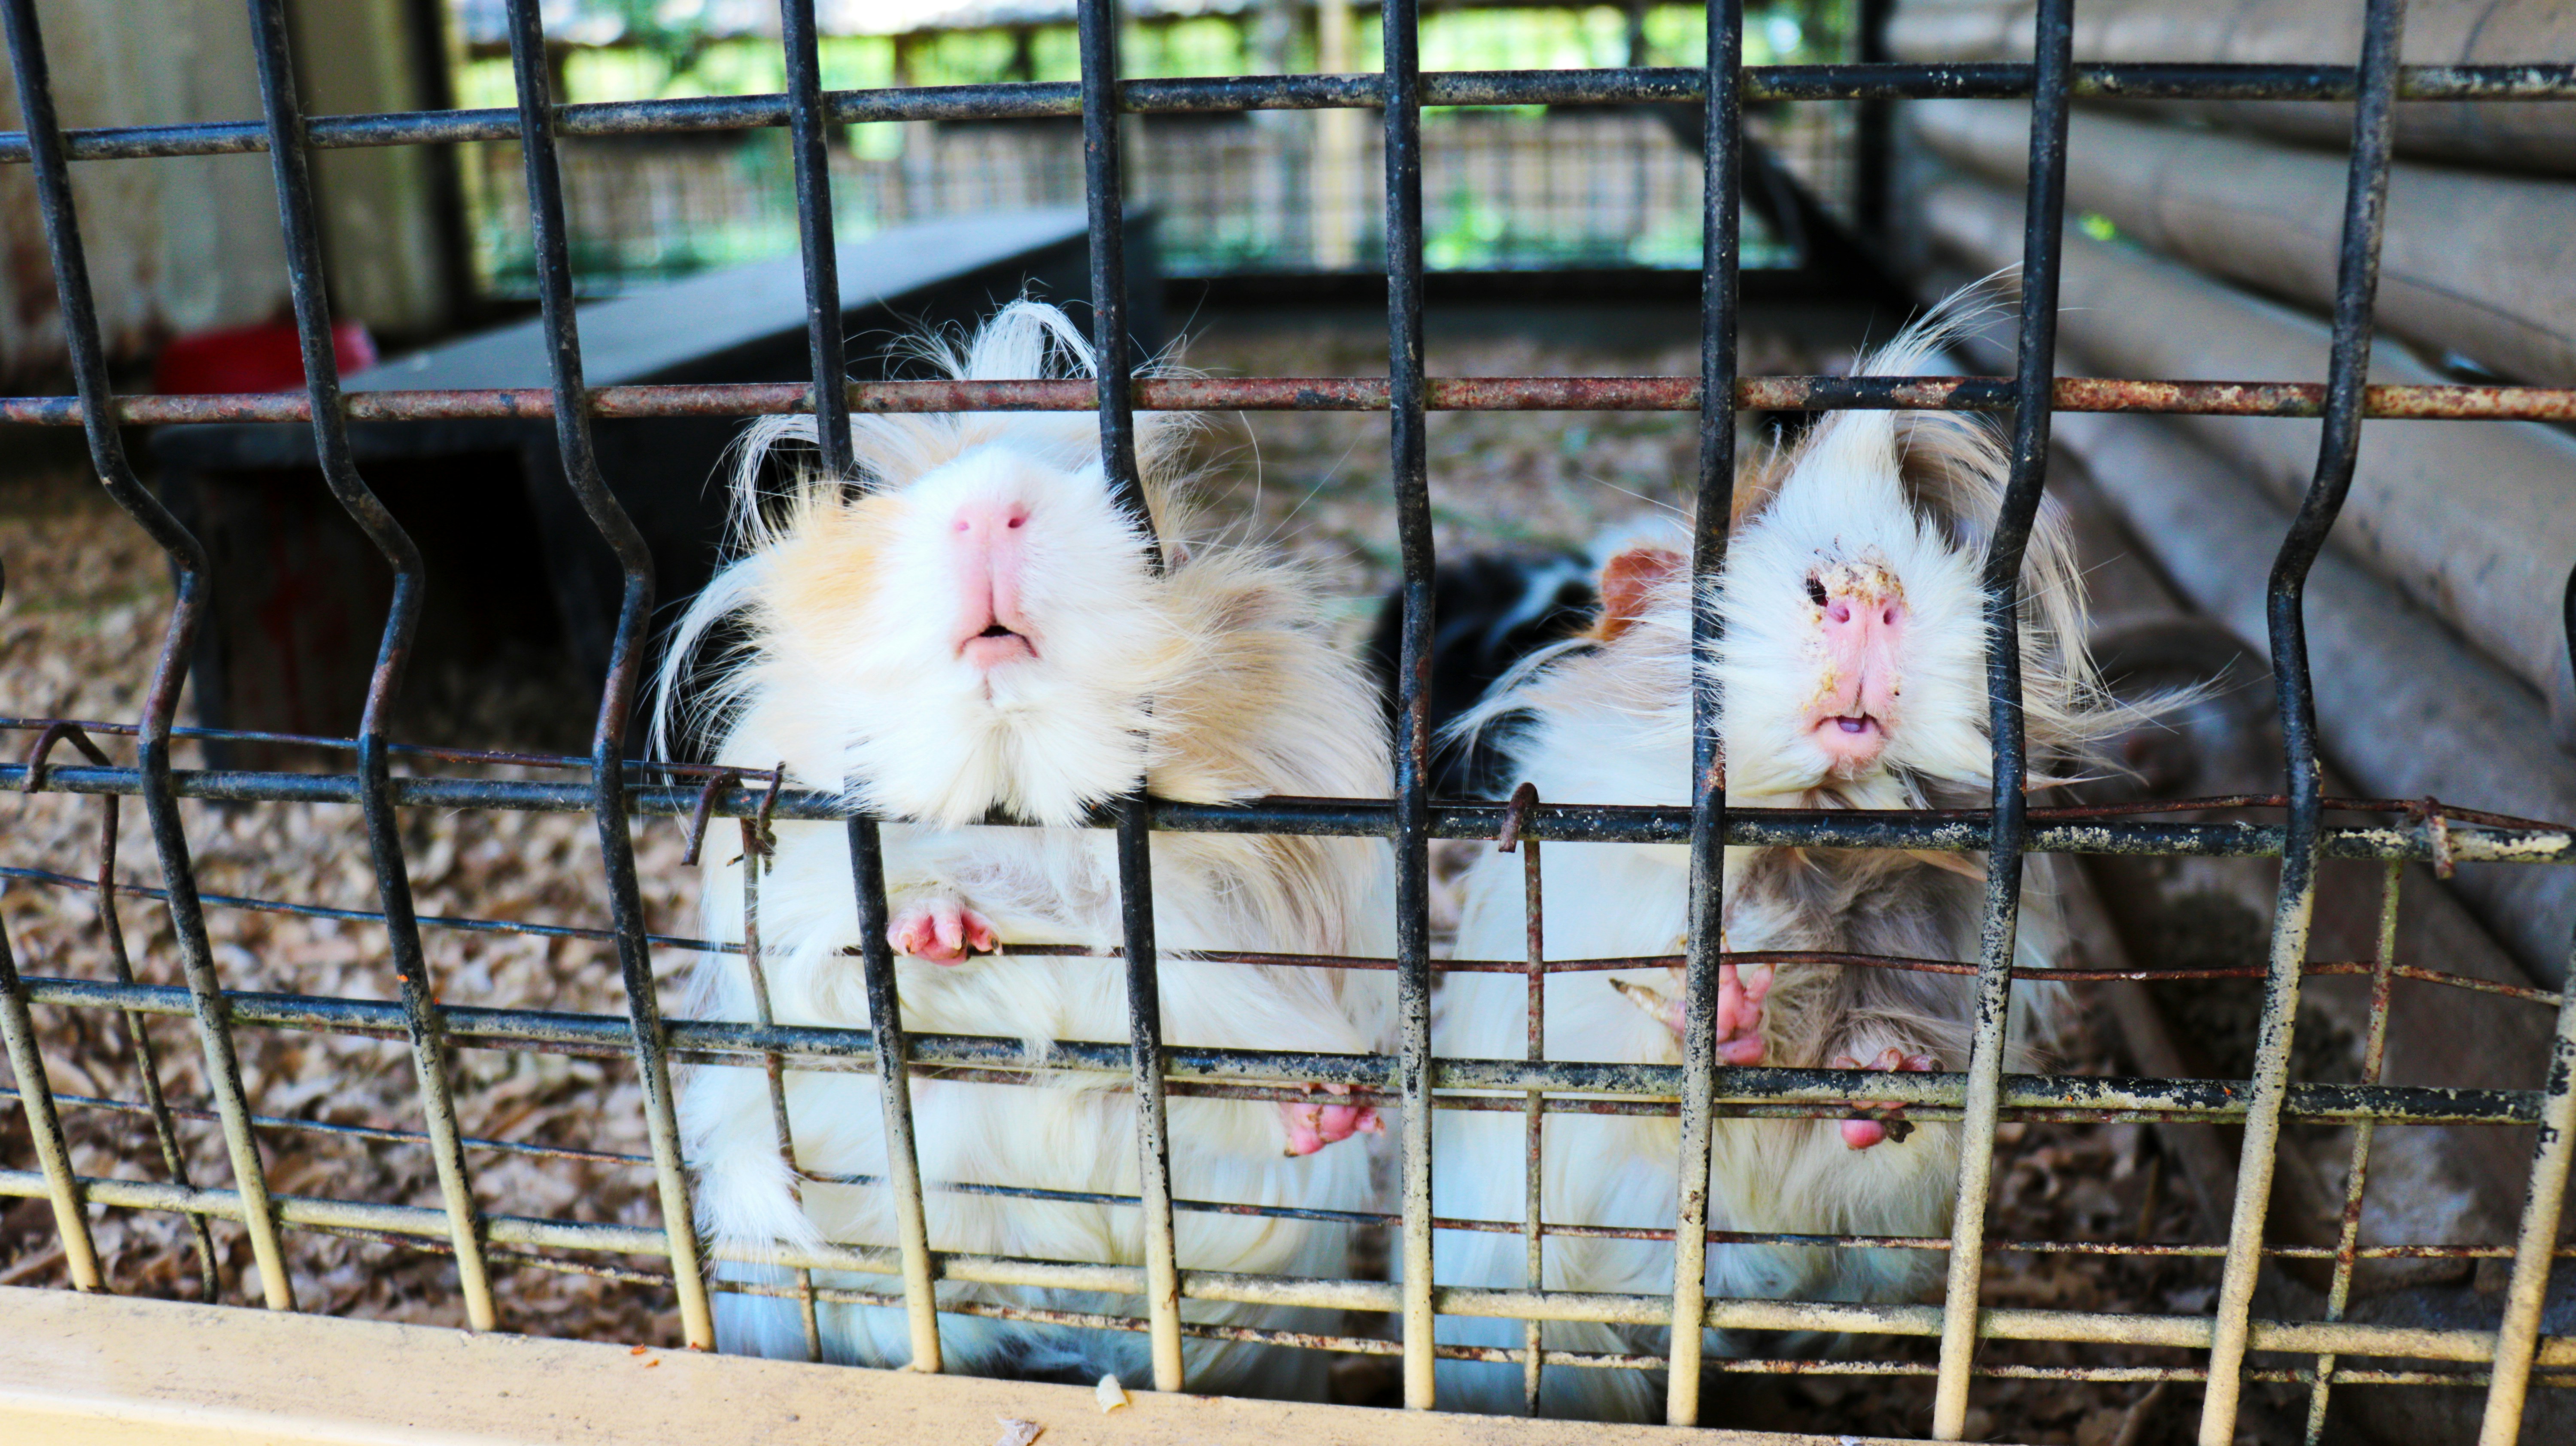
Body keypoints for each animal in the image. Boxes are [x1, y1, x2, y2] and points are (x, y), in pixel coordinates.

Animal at [655, 301, 1394, 1397]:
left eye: (1156, 543)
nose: (992, 507)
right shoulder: (813, 953)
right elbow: (876, 980)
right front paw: (942, 932)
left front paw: (1335, 1113)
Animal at [1425, 292, 2131, 1418]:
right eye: (1755, 544)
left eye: (1916, 541)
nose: (1868, 590)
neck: (1813, 845)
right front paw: (1732, 1003)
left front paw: (1880, 1072)